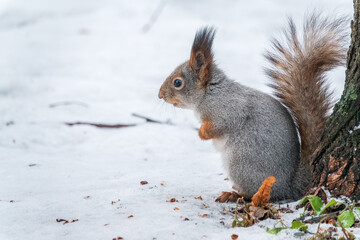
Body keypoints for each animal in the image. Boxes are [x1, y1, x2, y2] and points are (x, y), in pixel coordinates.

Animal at [157, 13, 346, 201]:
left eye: (177, 82)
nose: (159, 95)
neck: (209, 94)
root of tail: (288, 187)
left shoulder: (228, 110)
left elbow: (219, 126)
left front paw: (201, 133)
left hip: (240, 163)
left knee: (252, 194)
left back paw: (233, 194)